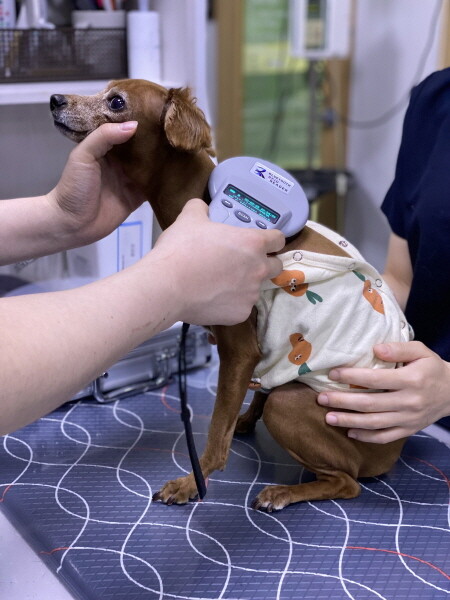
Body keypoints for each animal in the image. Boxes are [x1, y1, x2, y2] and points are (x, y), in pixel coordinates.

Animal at [51, 78, 406, 510]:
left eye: (116, 101)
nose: (55, 99)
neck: (201, 202)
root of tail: (392, 451)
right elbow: (239, 404)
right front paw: (235, 426)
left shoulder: (239, 351)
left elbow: (215, 435)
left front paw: (191, 482)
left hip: (297, 408)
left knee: (346, 480)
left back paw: (284, 491)